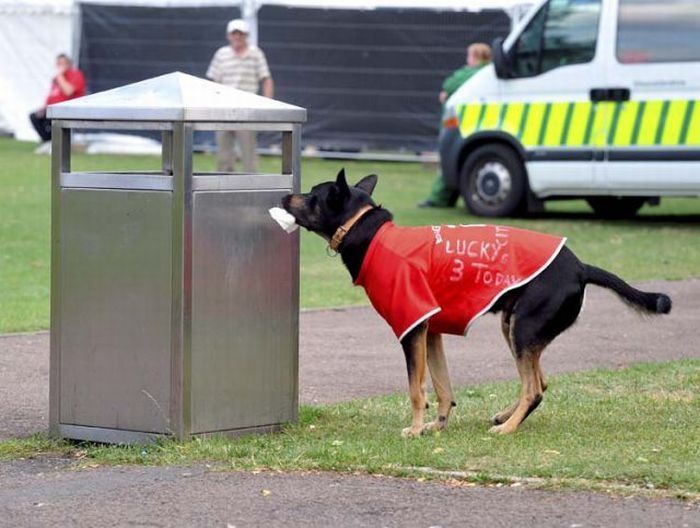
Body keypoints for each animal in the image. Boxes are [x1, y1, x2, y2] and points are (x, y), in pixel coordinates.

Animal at [280, 170, 672, 438]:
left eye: (312, 195)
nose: (285, 198)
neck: (368, 231)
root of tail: (581, 267)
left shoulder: (412, 330)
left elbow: (416, 389)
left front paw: (415, 429)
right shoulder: (431, 331)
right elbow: (442, 387)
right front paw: (438, 425)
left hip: (523, 329)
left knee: (533, 388)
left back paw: (508, 427)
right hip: (516, 328)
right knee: (540, 383)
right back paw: (505, 416)